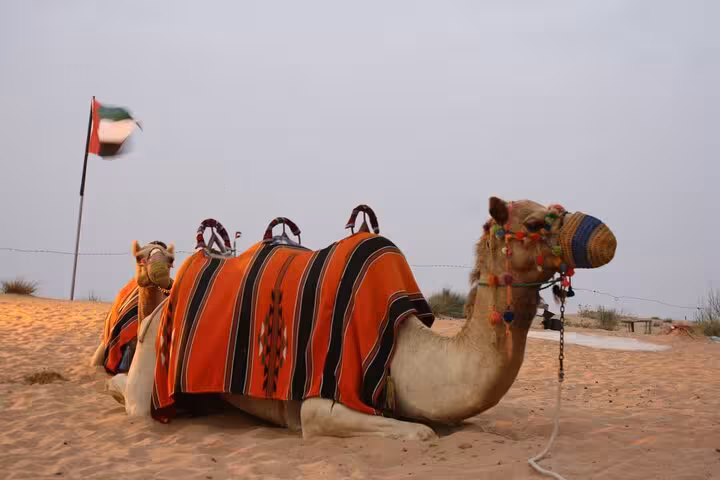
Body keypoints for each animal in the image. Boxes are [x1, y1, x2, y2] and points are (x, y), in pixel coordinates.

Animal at [105, 198, 616, 440]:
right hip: (154, 358)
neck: (405, 351)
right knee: (135, 401)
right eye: (533, 223)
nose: (606, 236)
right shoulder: (322, 401)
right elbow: (423, 434)